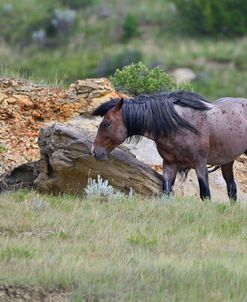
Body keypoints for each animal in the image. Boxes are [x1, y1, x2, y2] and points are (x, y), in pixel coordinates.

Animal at [90, 92, 247, 201]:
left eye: (107, 124)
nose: (94, 152)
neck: (179, 127)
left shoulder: (200, 165)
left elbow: (205, 195)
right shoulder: (170, 165)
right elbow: (166, 192)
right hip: (227, 161)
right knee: (232, 188)